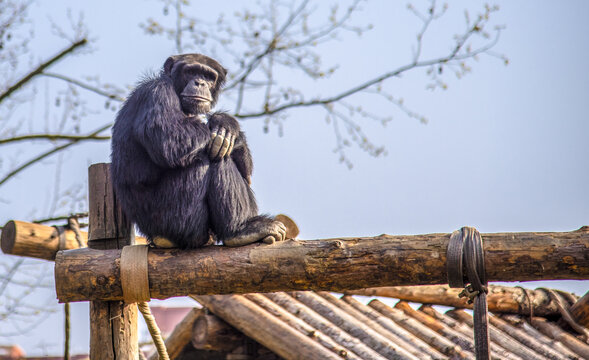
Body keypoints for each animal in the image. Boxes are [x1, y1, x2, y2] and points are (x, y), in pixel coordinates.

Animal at [111, 54, 286, 248]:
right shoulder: (157, 93)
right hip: (177, 218)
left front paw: (229, 129)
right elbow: (170, 139)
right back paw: (240, 230)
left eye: (209, 77)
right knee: (213, 158)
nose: (200, 82)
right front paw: (225, 124)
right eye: (191, 71)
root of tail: (156, 238)